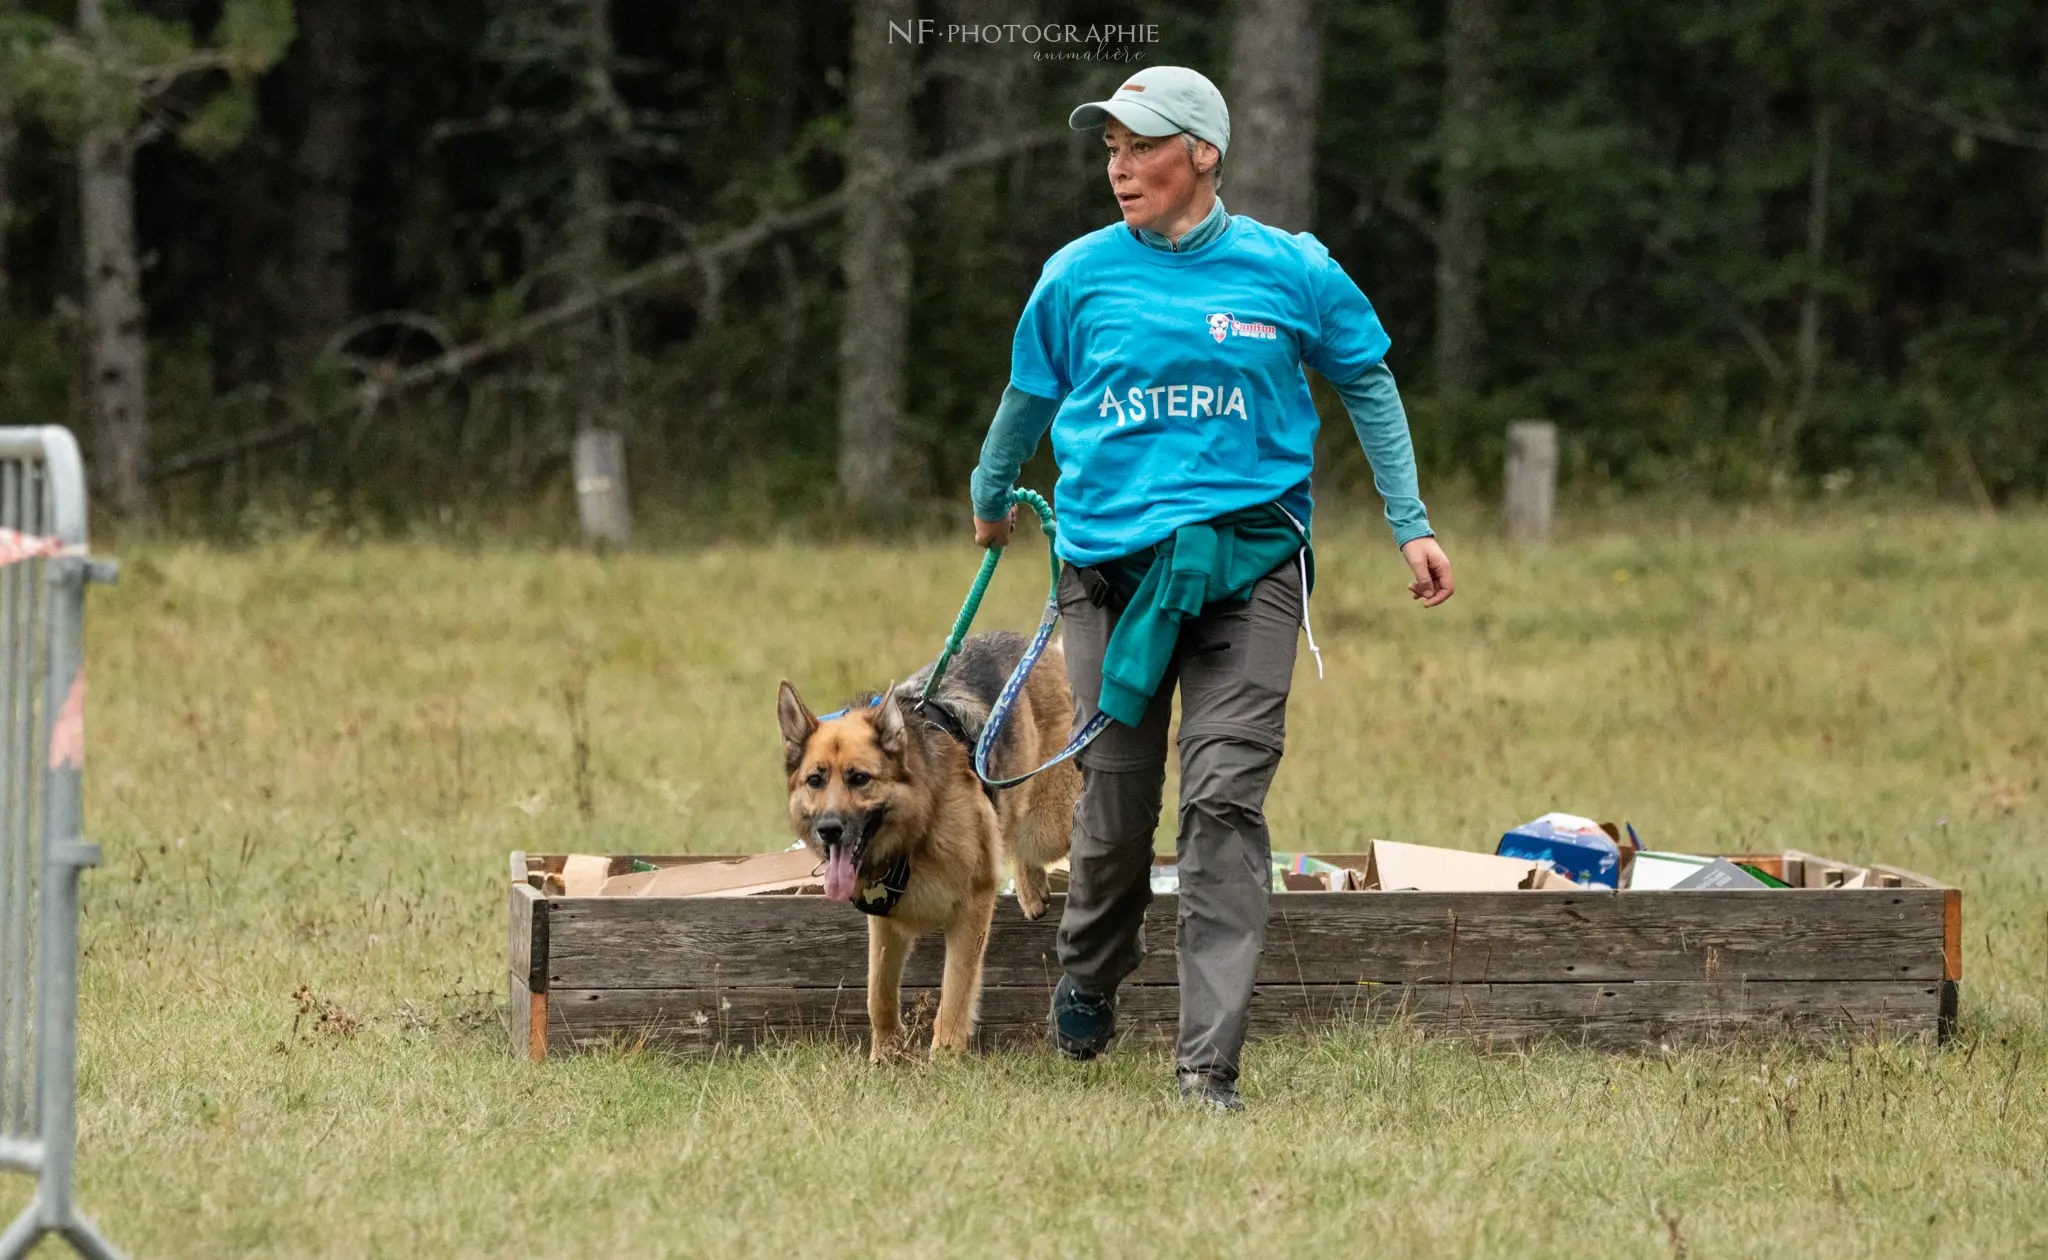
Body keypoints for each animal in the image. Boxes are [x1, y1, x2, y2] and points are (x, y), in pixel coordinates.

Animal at [774, 635, 1081, 1057]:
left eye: (859, 778)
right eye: (815, 780)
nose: (828, 830)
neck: (916, 829)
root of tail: (1050, 650)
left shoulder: (972, 907)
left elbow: (955, 991)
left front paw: (945, 1058)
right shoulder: (884, 923)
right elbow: (878, 993)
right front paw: (884, 1055)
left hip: (1046, 826)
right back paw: (1031, 890)